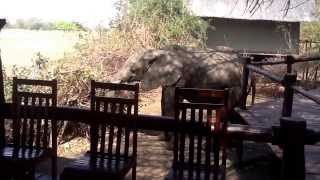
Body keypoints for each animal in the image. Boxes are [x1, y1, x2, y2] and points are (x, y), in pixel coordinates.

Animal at [111, 44, 246, 118]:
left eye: (133, 70)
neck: (158, 50)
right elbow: (164, 101)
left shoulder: (180, 76)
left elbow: (170, 102)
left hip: (236, 86)